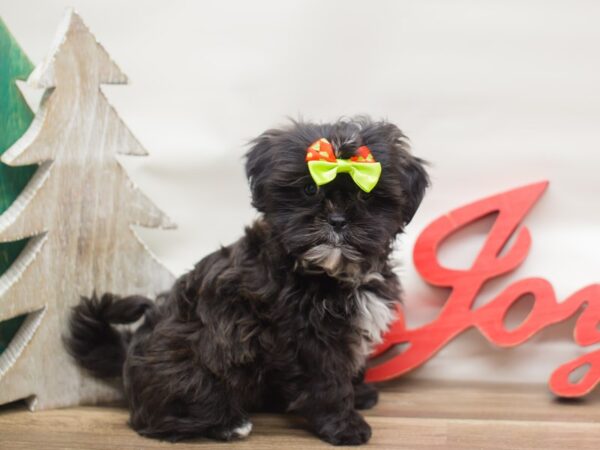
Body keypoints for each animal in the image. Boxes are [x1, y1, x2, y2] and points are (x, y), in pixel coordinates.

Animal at [68, 118, 428, 444]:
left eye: (366, 197)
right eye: (309, 189)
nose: (337, 220)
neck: (326, 271)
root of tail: (127, 357)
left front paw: (360, 392)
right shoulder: (306, 339)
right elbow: (327, 381)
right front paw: (344, 425)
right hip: (189, 365)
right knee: (160, 418)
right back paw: (227, 424)